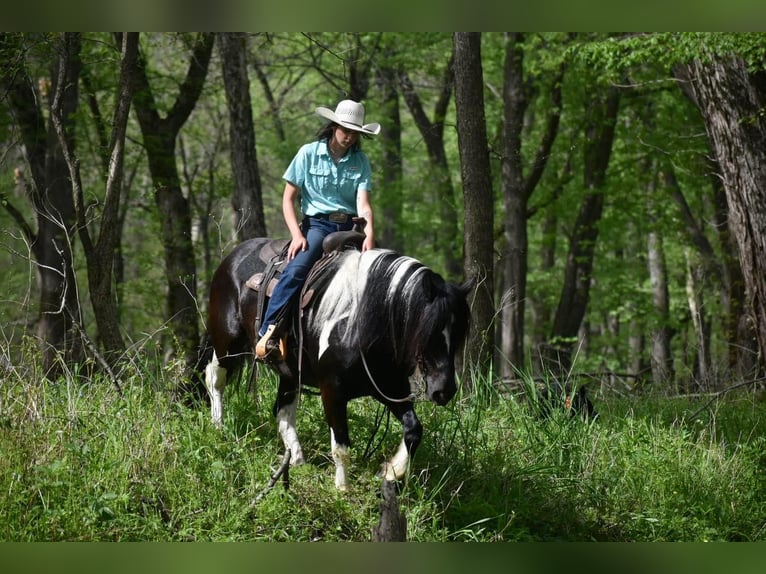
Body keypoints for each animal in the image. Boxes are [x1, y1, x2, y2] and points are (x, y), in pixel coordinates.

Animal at [201, 236, 472, 492]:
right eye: (430, 331)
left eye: (459, 334)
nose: (444, 391)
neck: (361, 324)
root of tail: (233, 256)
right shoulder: (332, 391)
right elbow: (341, 445)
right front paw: (342, 489)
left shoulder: (391, 388)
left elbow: (414, 430)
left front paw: (391, 472)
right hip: (228, 341)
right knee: (214, 377)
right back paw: (217, 427)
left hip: (289, 370)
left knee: (282, 409)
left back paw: (297, 458)